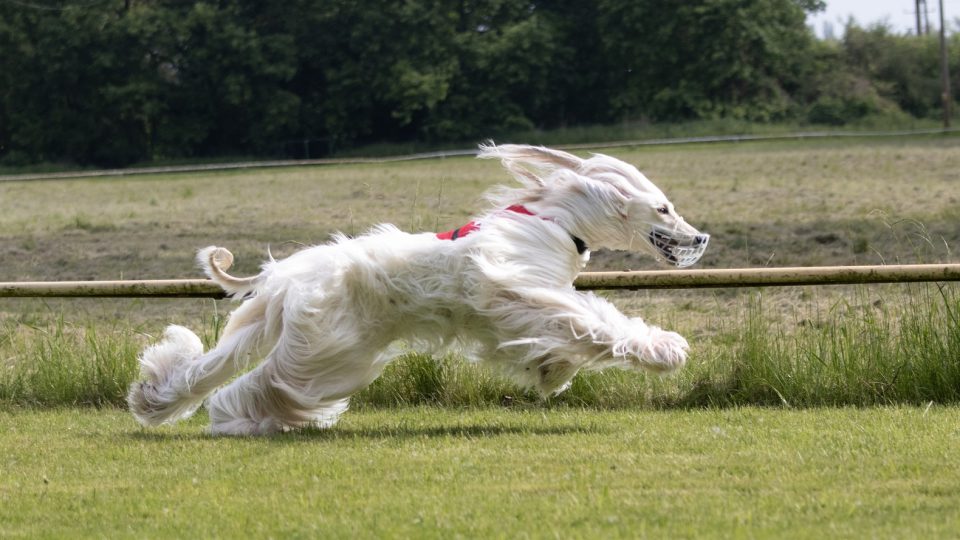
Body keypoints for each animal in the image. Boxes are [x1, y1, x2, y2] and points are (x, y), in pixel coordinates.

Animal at [127, 143, 704, 434]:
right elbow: (592, 320)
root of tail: (284, 277)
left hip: (324, 345)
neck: (556, 220)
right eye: (664, 208)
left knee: (213, 371)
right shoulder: (516, 289)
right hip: (324, 346)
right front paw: (666, 349)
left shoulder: (517, 308)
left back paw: (155, 398)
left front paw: (550, 370)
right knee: (263, 383)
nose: (700, 237)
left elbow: (560, 336)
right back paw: (236, 422)